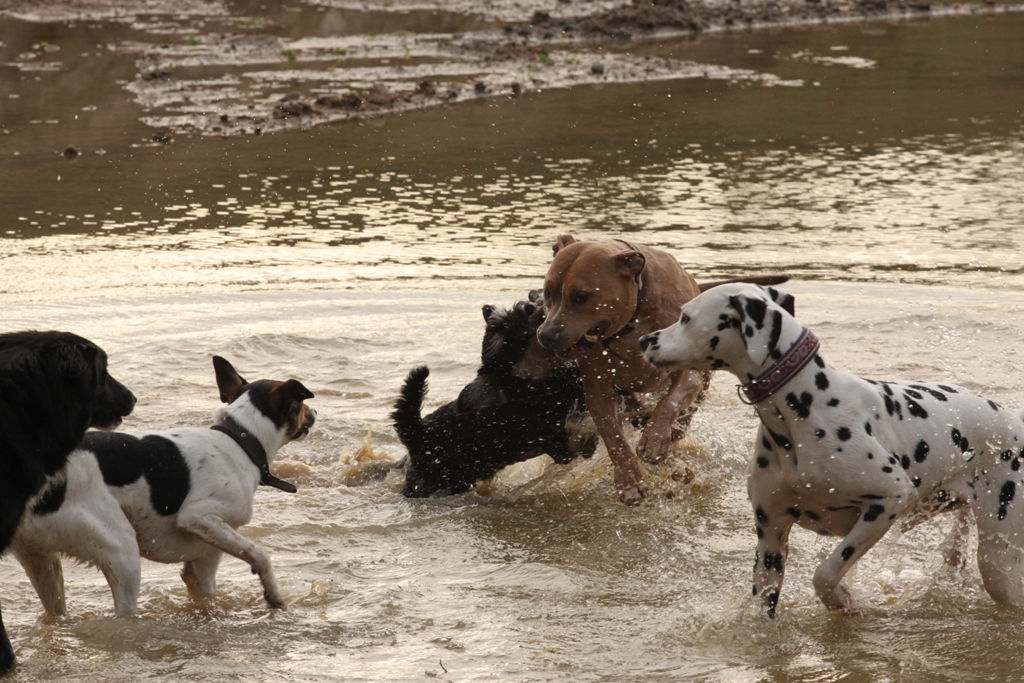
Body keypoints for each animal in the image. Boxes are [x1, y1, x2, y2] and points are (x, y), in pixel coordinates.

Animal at [12, 358, 313, 618]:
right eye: (301, 406)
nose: (316, 412)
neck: (240, 440)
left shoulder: (204, 560)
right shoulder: (198, 517)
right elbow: (259, 554)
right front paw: (273, 595)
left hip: (42, 561)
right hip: (121, 549)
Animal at [393, 299, 598, 497]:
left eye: (512, 314)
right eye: (511, 335)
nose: (529, 306)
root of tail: (417, 432)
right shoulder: (554, 441)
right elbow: (576, 437)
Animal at [536, 236, 782, 507]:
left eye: (582, 296)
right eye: (548, 292)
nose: (546, 335)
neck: (631, 320)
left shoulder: (687, 374)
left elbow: (668, 403)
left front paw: (654, 440)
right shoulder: (597, 387)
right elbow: (614, 437)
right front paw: (629, 481)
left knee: (681, 419)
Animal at [634, 286, 1024, 618]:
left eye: (685, 317)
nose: (643, 340)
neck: (801, 408)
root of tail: (1015, 422)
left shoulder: (890, 500)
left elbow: (825, 572)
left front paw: (841, 599)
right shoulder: (771, 535)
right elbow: (764, 606)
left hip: (999, 561)